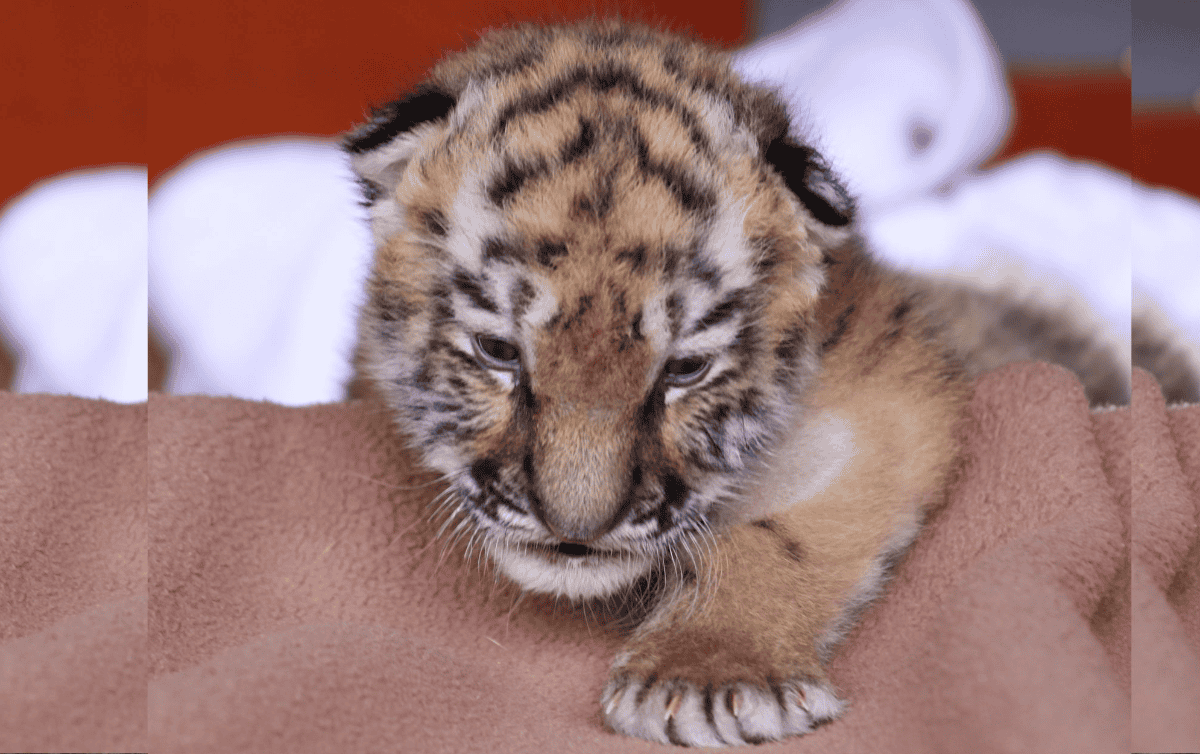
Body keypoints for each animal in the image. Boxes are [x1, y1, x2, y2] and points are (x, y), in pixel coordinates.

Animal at [342, 20, 1125, 746]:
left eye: (684, 369)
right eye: (498, 351)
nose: (575, 533)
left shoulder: (886, 401)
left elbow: (776, 535)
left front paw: (707, 675)